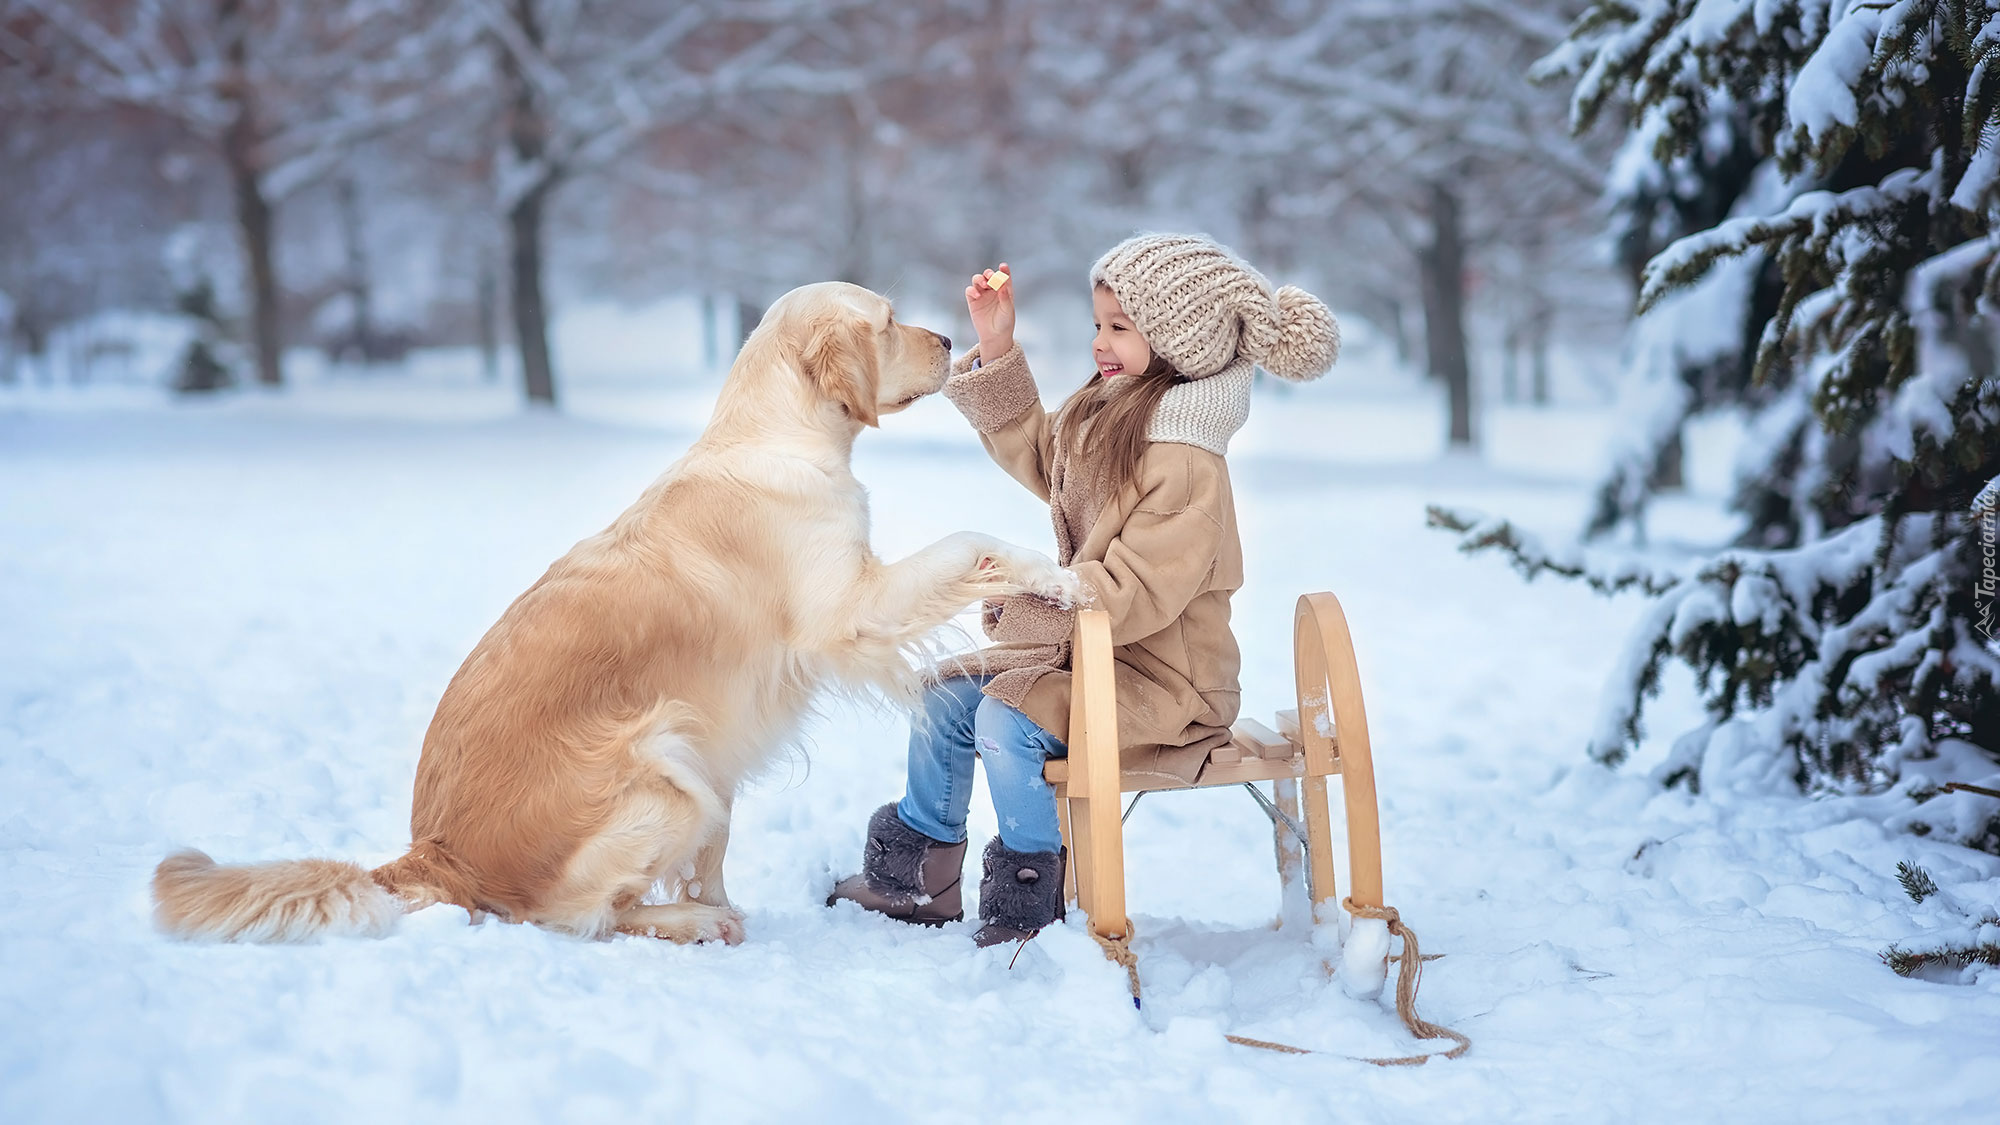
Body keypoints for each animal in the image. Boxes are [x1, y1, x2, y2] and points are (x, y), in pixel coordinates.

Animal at [152, 278, 1080, 936]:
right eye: (887, 321)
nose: (952, 338)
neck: (778, 435)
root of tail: (432, 850)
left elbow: (715, 853)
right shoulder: (852, 606)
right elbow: (971, 540)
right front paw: (1058, 579)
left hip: (691, 760)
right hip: (665, 767)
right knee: (580, 916)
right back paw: (693, 922)